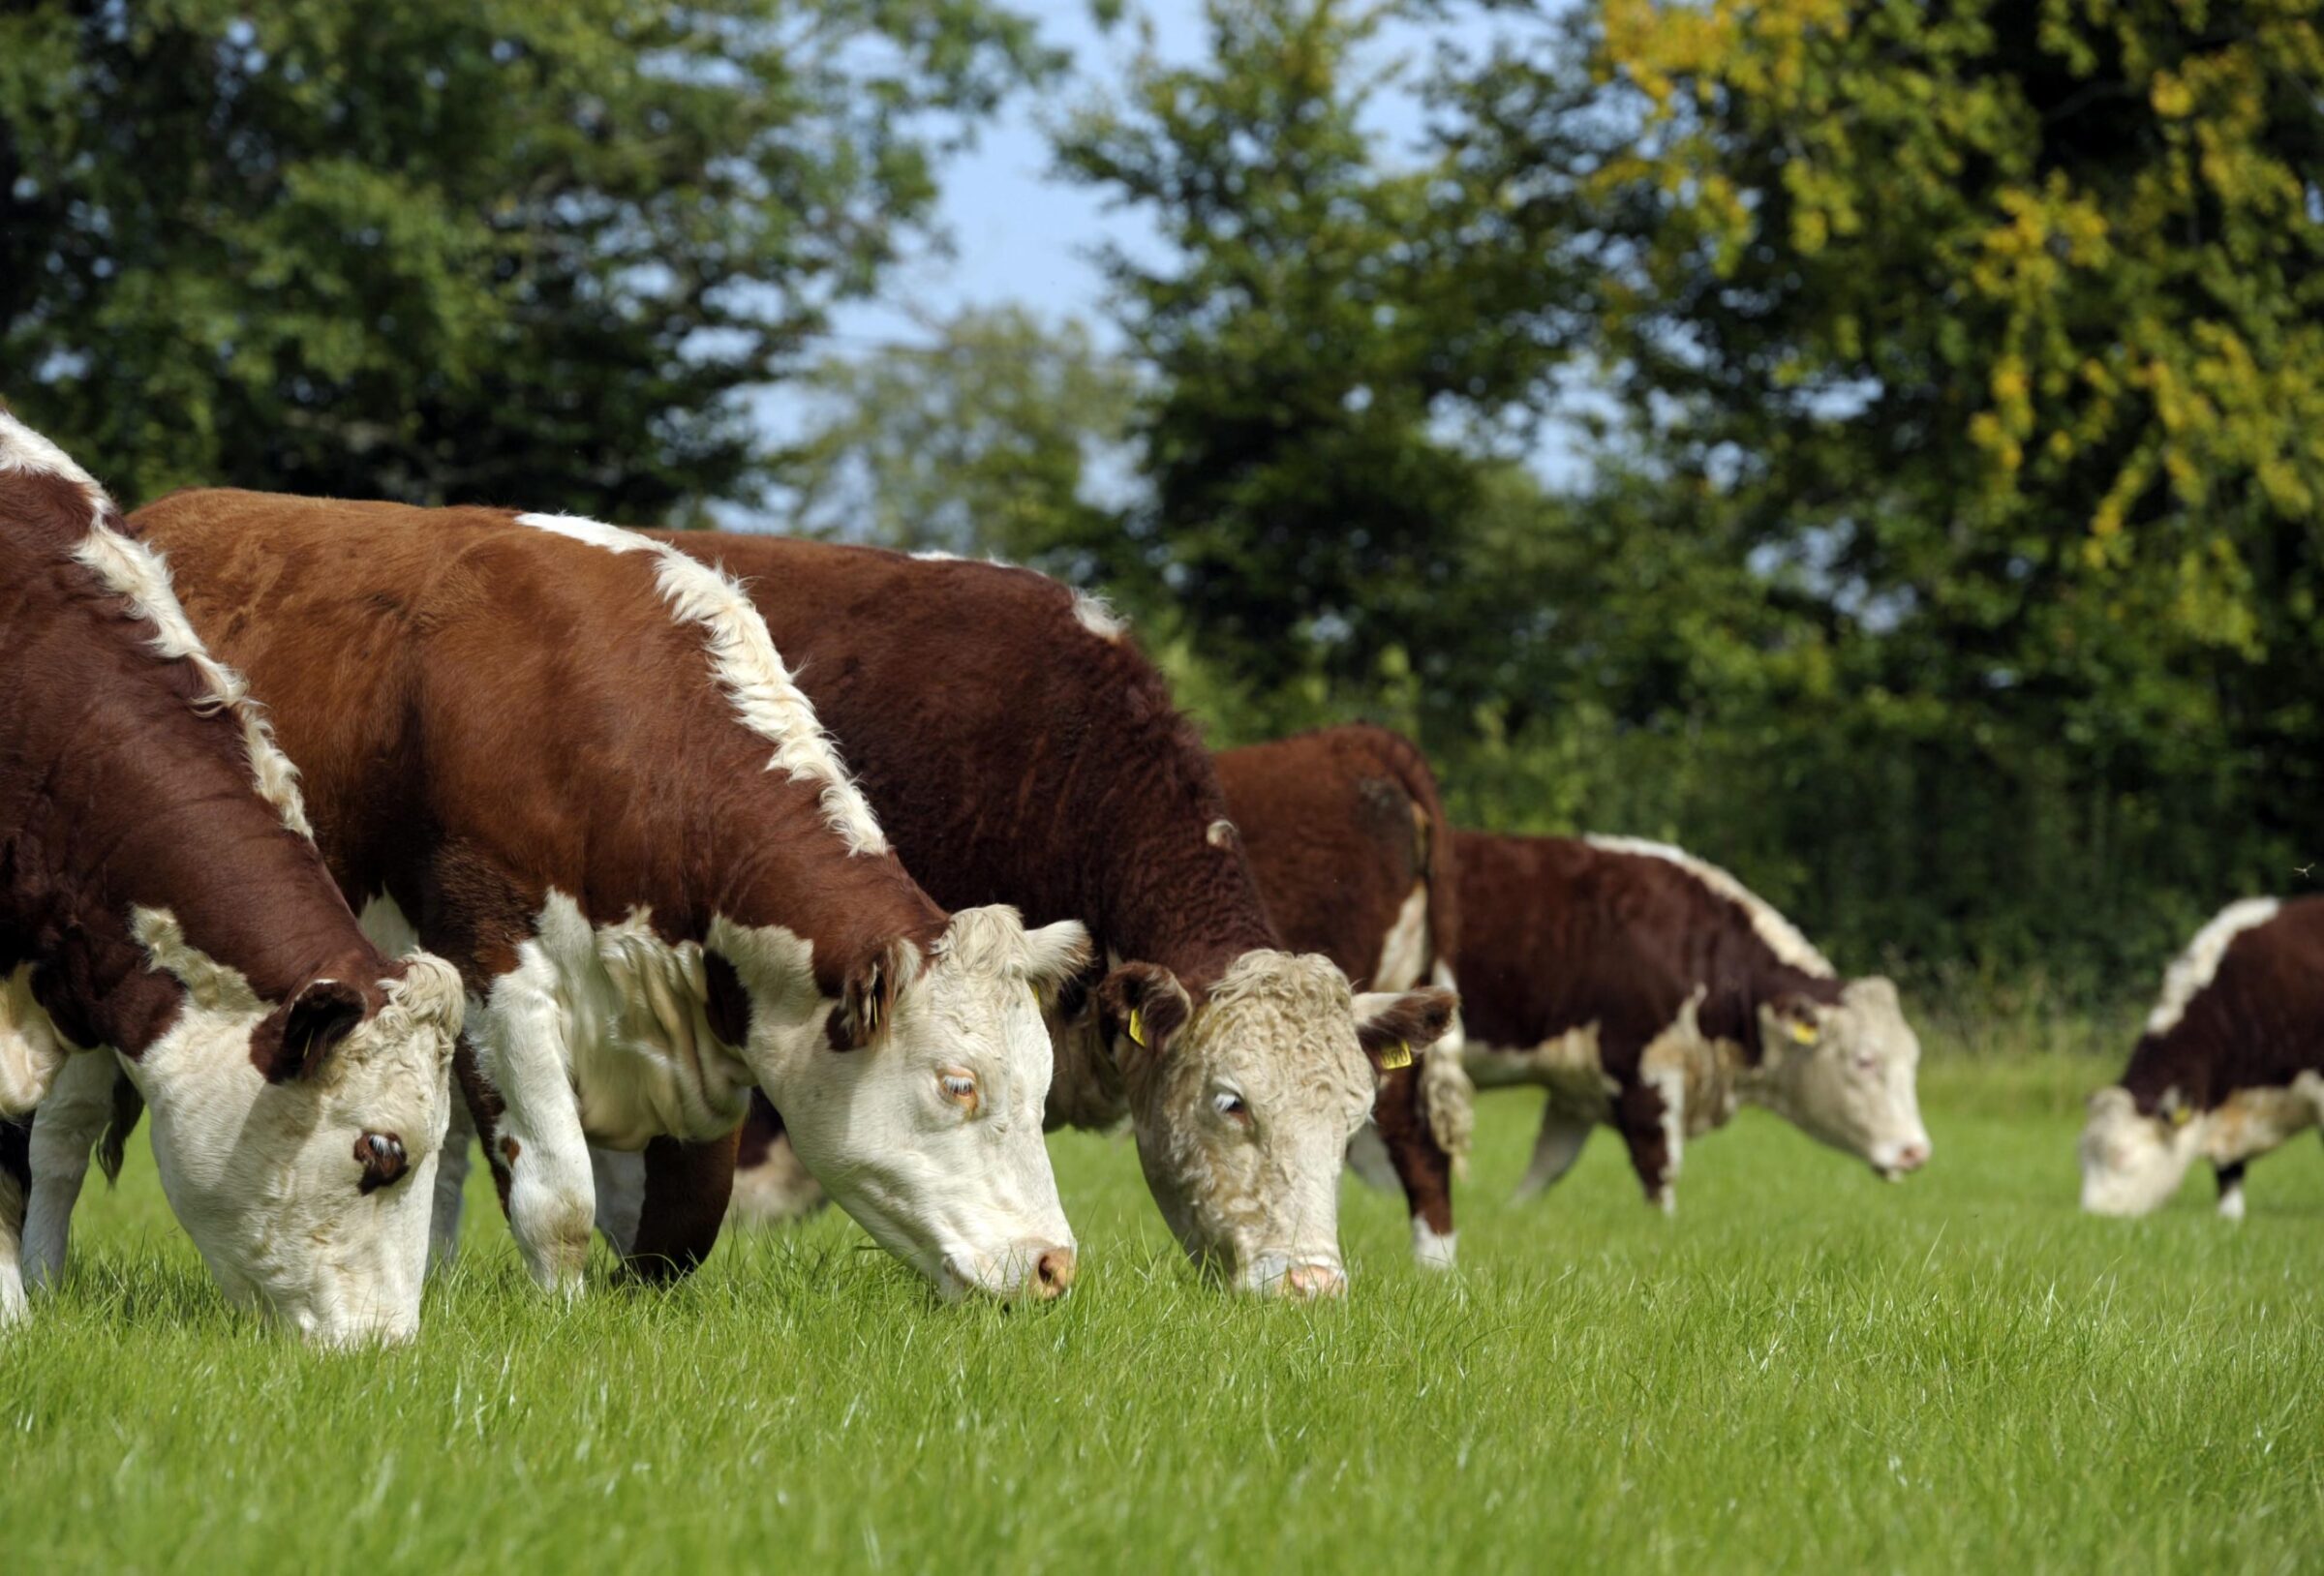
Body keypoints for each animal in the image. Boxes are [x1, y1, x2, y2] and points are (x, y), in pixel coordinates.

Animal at [93, 491, 1089, 1302]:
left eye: (1042, 1084)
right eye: (957, 1084)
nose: (1053, 1265)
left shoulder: (702, 1030)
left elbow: (680, 1223)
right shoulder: (496, 973)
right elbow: (558, 1191)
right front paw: (563, 1315)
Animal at [1453, 831, 1930, 1210]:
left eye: (1912, 1062)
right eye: (1864, 1061)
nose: (1916, 1152)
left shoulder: (1575, 1089)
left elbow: (1546, 1167)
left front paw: (1513, 1215)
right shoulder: (1643, 1072)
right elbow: (1660, 1171)